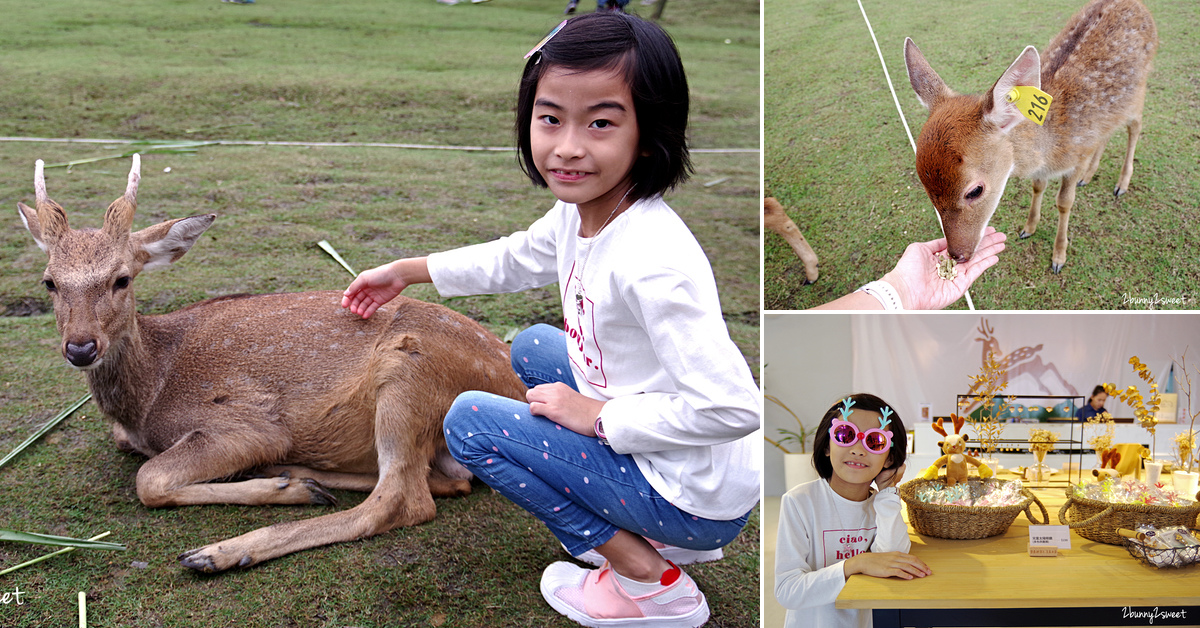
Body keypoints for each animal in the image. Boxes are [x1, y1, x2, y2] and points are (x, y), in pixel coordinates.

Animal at [17, 154, 525, 571]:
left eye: (122, 279)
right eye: (49, 282)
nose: (81, 347)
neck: (146, 398)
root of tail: (514, 381)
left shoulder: (246, 424)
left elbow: (149, 479)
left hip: (410, 372)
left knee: (402, 499)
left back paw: (225, 548)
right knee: (445, 482)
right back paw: (296, 477)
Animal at [907, 0, 1152, 272]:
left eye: (975, 191)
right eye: (926, 190)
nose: (958, 254)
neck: (1050, 148)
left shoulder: (1076, 157)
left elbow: (1064, 202)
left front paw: (1058, 257)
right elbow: (1038, 186)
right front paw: (1028, 228)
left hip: (1139, 90)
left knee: (1135, 127)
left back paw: (1121, 185)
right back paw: (1089, 176)